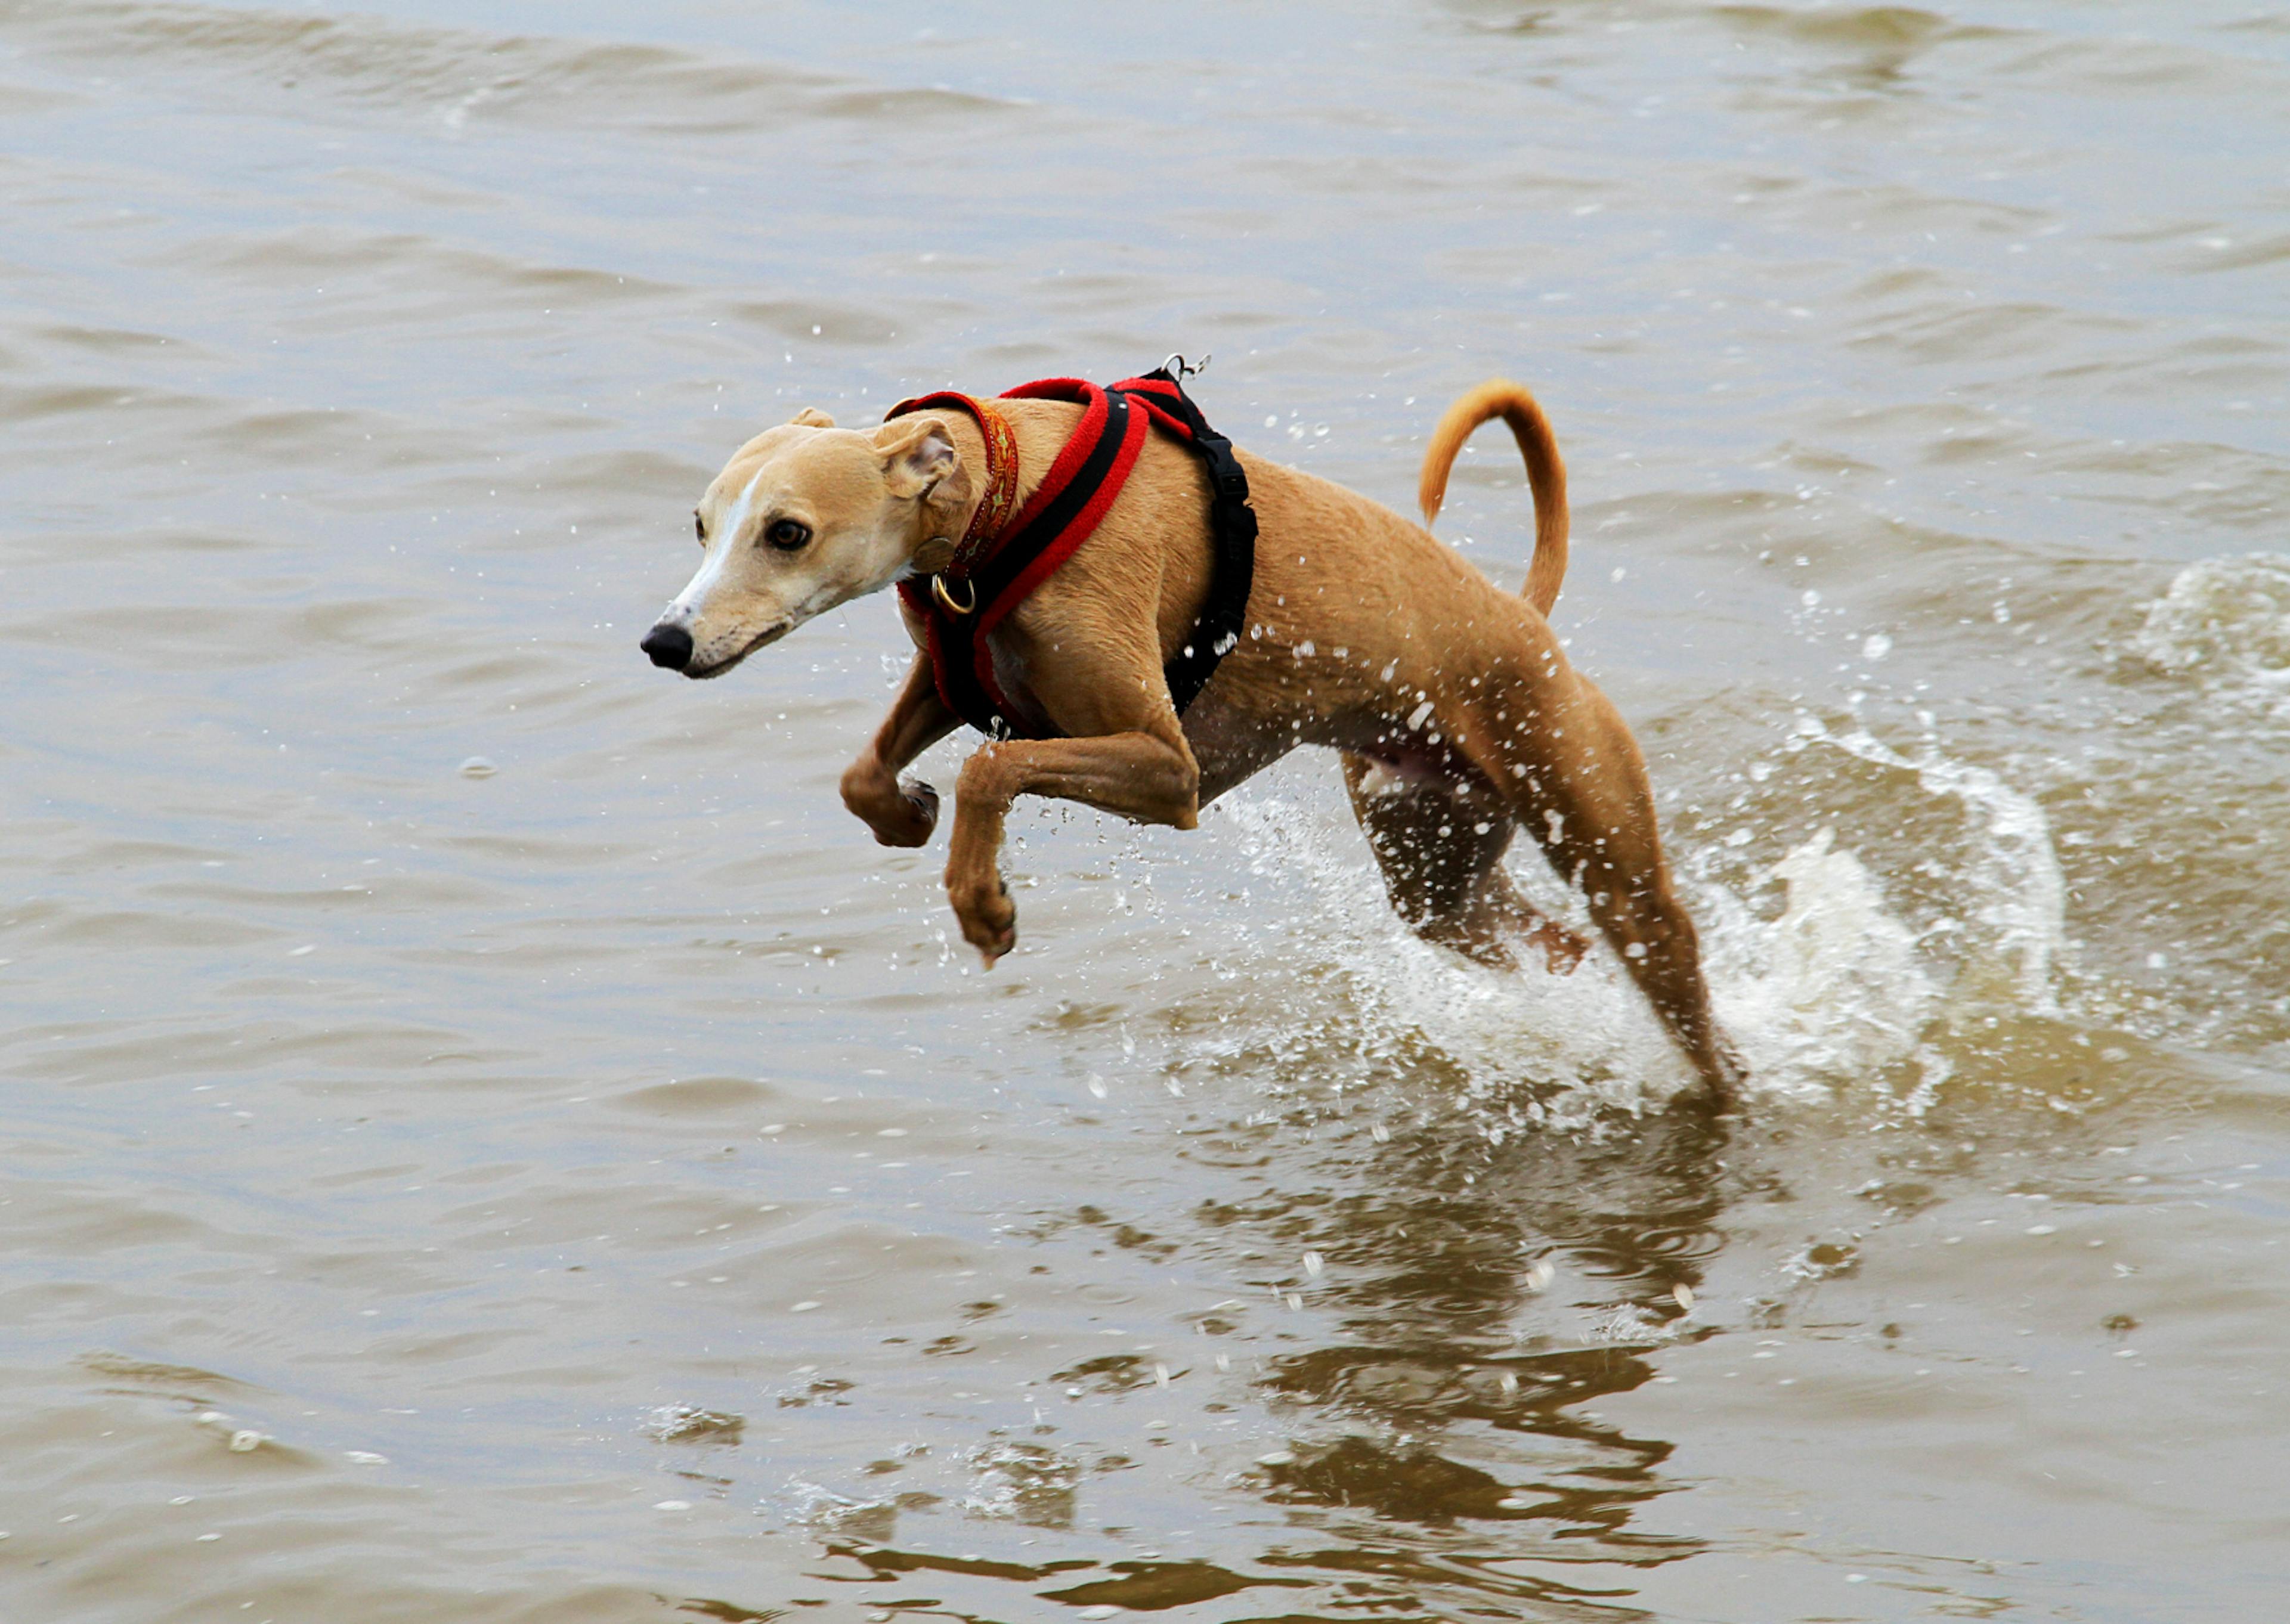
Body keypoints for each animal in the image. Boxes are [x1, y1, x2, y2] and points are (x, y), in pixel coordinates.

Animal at [645, 377, 1749, 1104]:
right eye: (700, 523)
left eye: (787, 531)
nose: (666, 641)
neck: (1012, 483)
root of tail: (1524, 619)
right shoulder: (965, 668)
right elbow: (867, 771)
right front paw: (903, 814)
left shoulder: (1165, 768)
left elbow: (990, 766)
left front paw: (984, 900)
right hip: (1434, 864)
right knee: (1549, 942)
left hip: (1603, 842)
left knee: (1674, 976)